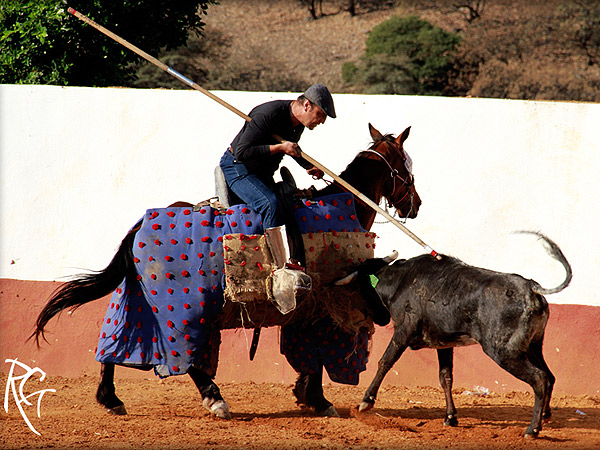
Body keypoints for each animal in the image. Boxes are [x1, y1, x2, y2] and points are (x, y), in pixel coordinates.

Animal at [29, 122, 422, 418]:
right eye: (406, 167)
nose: (415, 205)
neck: (347, 204)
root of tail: (143, 223)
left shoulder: (308, 313)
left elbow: (308, 356)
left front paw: (306, 396)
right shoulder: (327, 310)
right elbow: (318, 355)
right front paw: (318, 400)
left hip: (138, 295)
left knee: (118, 339)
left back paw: (110, 398)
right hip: (185, 307)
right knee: (184, 353)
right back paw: (214, 398)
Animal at [338, 234, 572, 438]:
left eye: (359, 289)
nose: (377, 320)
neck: (401, 280)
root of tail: (531, 288)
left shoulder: (404, 330)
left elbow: (385, 361)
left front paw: (366, 401)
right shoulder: (444, 343)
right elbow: (445, 377)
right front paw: (451, 417)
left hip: (503, 351)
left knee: (539, 378)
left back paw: (532, 429)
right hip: (533, 345)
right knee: (549, 376)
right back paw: (545, 415)